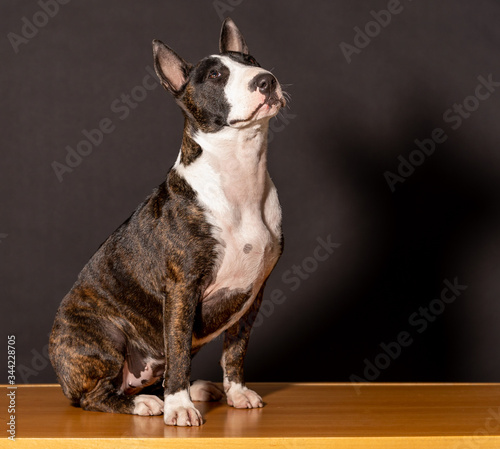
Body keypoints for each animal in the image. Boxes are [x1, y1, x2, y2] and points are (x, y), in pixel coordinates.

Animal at [49, 17, 290, 426]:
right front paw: (179, 408)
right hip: (104, 336)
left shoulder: (253, 294)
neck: (240, 173)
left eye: (252, 61)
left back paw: (199, 389)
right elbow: (177, 350)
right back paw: (146, 403)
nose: (266, 80)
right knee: (94, 396)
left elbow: (235, 350)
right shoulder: (181, 289)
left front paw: (237, 393)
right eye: (216, 75)